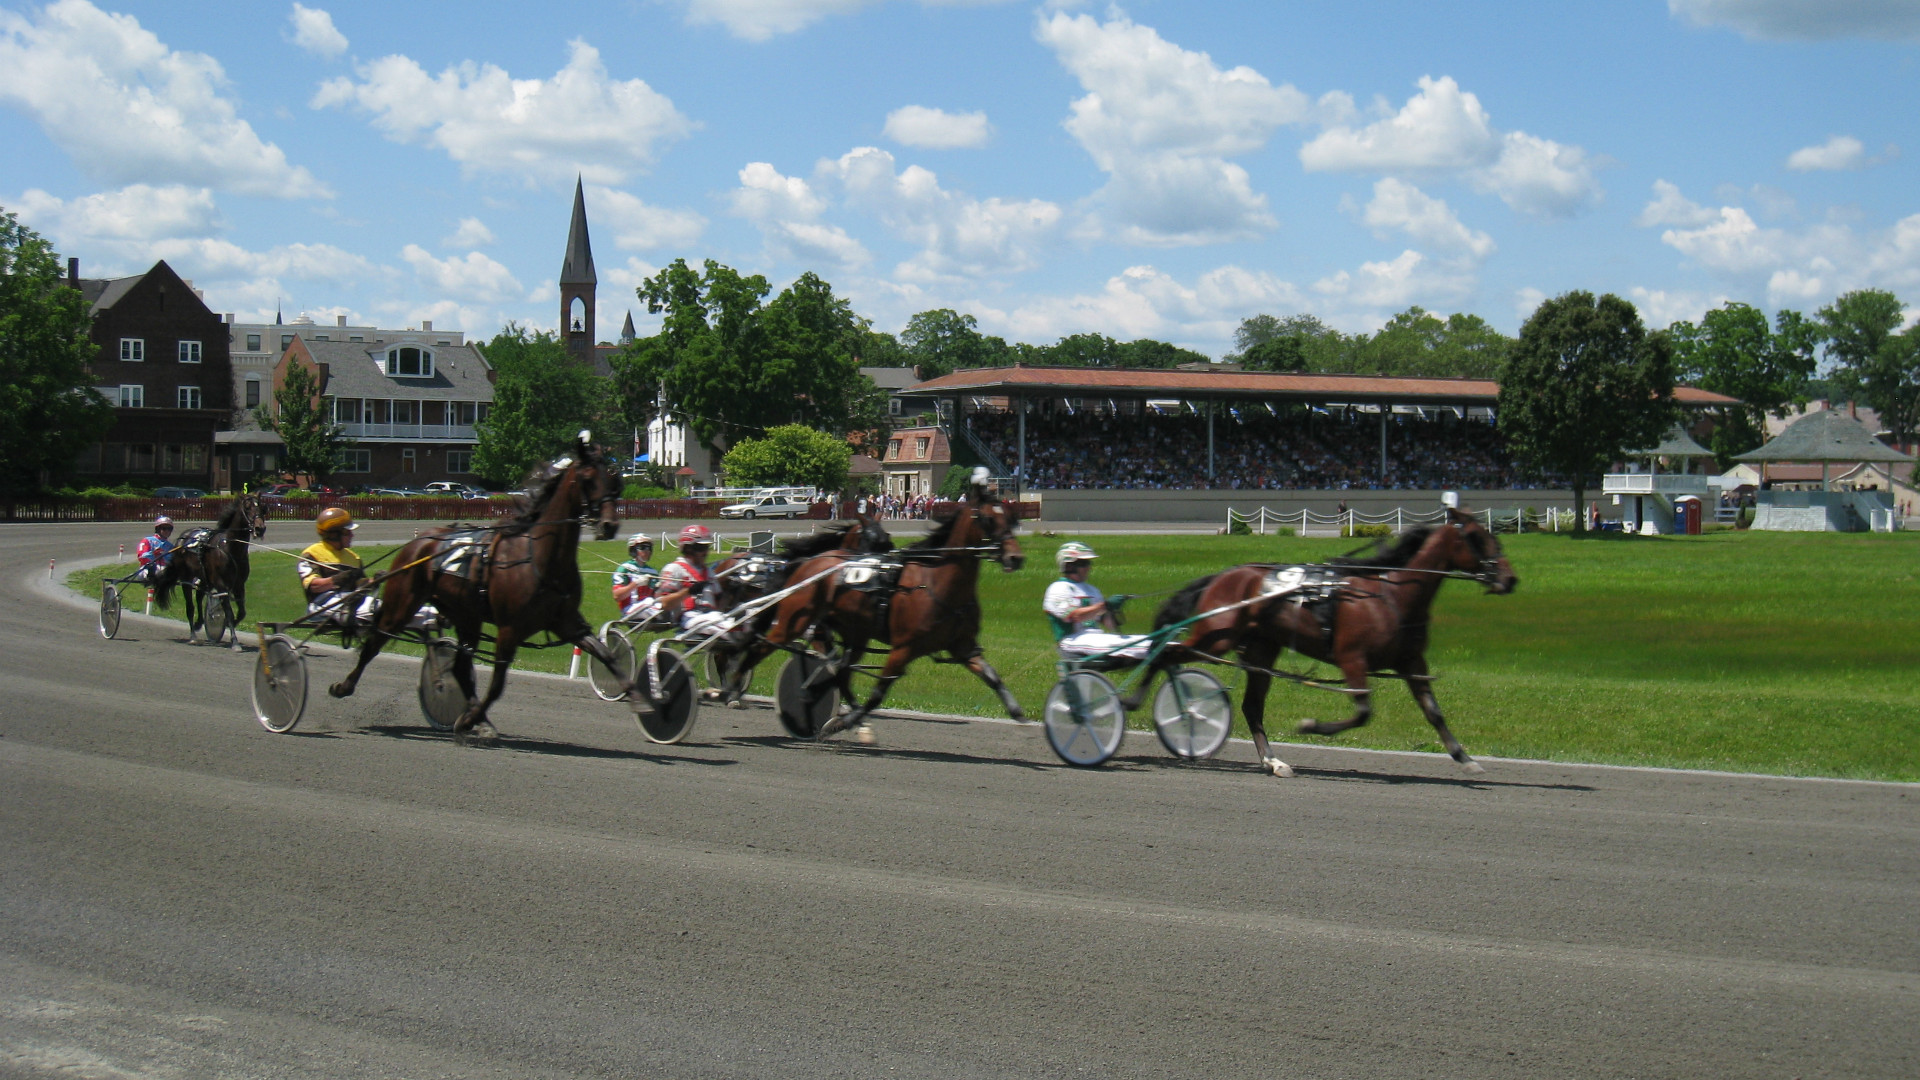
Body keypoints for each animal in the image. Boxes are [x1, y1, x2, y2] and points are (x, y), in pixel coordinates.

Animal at [153, 491, 268, 641]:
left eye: (262, 507)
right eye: (247, 507)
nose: (260, 528)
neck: (230, 548)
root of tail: (182, 539)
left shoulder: (239, 584)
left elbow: (241, 612)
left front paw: (227, 624)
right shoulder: (220, 583)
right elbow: (228, 612)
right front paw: (234, 640)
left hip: (203, 576)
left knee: (199, 596)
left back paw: (199, 622)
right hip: (186, 578)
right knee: (190, 606)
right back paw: (193, 635)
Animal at [326, 428, 629, 737]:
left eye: (613, 479)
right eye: (588, 478)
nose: (609, 525)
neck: (540, 557)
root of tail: (417, 542)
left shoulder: (567, 623)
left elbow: (610, 659)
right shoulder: (509, 629)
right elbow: (496, 685)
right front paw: (470, 719)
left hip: (465, 615)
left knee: (459, 666)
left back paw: (477, 719)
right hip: (402, 605)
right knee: (374, 642)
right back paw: (344, 686)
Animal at [741, 472, 1029, 734]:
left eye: (1010, 518)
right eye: (989, 519)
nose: (1015, 558)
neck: (937, 583)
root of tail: (808, 563)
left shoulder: (963, 646)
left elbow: (992, 677)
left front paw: (1017, 711)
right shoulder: (903, 648)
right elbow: (878, 692)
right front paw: (847, 720)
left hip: (854, 634)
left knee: (841, 671)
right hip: (797, 623)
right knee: (770, 650)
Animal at [1136, 507, 1512, 776]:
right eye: (1477, 537)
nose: (1510, 579)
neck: (1389, 595)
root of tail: (1223, 575)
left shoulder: (1411, 661)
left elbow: (1433, 711)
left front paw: (1464, 758)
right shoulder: (1352, 658)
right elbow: (1362, 711)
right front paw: (1311, 725)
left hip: (1260, 649)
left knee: (1251, 706)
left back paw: (1273, 761)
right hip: (1215, 639)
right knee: (1164, 653)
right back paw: (1136, 698)